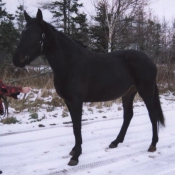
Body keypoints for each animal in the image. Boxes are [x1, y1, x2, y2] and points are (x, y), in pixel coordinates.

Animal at [13, 8, 164, 166]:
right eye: (22, 33)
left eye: (34, 34)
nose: (16, 59)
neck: (70, 64)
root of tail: (151, 61)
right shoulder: (68, 102)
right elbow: (74, 126)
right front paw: (74, 150)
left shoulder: (76, 101)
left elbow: (77, 127)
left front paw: (75, 156)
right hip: (128, 93)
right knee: (128, 115)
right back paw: (115, 142)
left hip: (146, 90)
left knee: (152, 114)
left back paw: (153, 144)